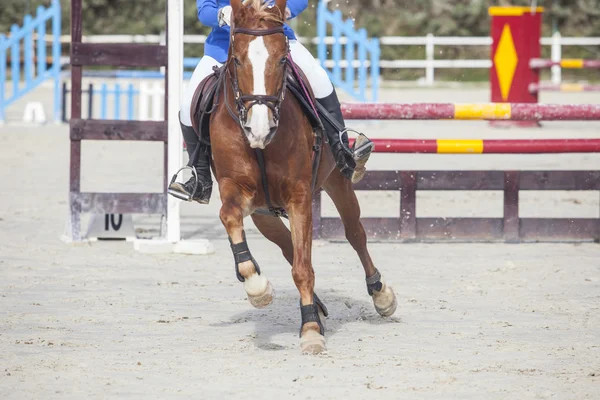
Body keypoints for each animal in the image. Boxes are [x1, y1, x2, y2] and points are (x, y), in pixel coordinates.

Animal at [207, 0, 398, 354]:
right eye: (237, 60)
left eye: (282, 59)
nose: (259, 129)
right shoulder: (237, 192)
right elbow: (230, 219)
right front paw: (257, 286)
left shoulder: (299, 198)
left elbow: (303, 268)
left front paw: (310, 329)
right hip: (264, 214)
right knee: (287, 247)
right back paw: (317, 306)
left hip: (337, 181)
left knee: (355, 234)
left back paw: (380, 295)